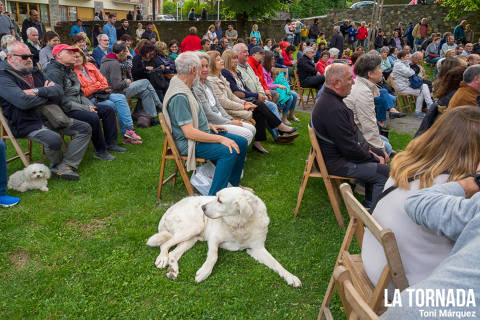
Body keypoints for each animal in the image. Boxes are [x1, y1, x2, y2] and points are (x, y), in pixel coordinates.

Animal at [148, 185, 302, 288]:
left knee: (173, 253)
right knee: (165, 244)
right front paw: (204, 272)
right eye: (215, 196)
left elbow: (277, 263)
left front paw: (291, 277)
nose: (202, 208)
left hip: (191, 238)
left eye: (220, 200)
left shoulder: (257, 249)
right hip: (193, 227)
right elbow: (213, 256)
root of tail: (168, 210)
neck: (240, 225)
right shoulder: (214, 239)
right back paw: (162, 259)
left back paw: (173, 270)